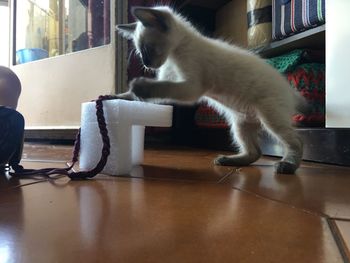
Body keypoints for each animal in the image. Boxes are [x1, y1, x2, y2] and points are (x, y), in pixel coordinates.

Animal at [116, 6, 304, 174]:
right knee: (255, 152)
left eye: (147, 49)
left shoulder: (191, 87)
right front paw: (115, 96)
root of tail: (290, 89)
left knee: (296, 142)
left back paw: (287, 165)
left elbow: (162, 88)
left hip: (270, 117)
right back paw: (229, 160)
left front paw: (139, 86)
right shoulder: (171, 82)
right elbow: (133, 94)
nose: (147, 64)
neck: (173, 56)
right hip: (240, 125)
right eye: (140, 53)